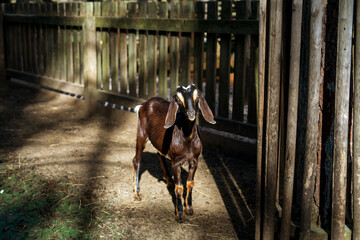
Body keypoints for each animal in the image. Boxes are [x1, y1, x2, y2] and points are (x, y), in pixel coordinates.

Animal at [133, 83, 215, 222]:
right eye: (178, 99)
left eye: (197, 97)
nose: (191, 113)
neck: (187, 140)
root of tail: (144, 104)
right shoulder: (176, 162)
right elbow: (180, 187)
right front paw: (179, 214)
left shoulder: (195, 161)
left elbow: (190, 183)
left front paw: (189, 209)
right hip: (141, 133)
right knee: (136, 160)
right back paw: (137, 194)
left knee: (159, 154)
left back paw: (169, 182)